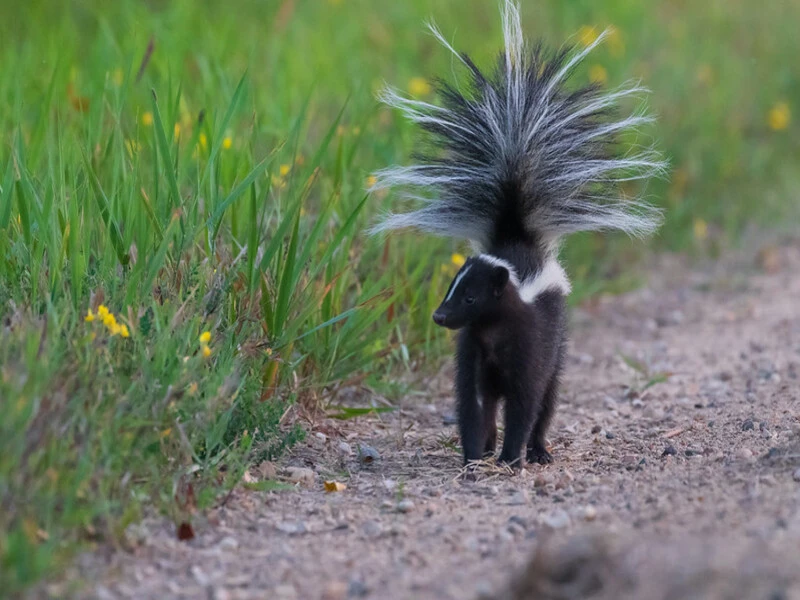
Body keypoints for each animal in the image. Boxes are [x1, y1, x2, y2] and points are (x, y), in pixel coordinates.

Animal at [372, 1, 664, 468]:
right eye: (451, 290)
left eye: (471, 298)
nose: (439, 317)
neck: (494, 334)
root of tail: (517, 234)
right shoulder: (474, 355)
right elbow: (473, 404)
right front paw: (475, 456)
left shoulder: (531, 346)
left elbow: (527, 401)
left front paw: (512, 456)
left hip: (559, 339)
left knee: (548, 398)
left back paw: (539, 449)